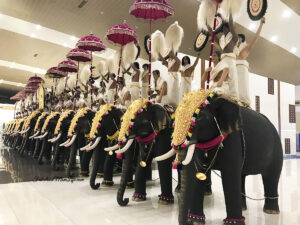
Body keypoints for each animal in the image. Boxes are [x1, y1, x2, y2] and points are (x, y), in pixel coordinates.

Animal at [156, 89, 282, 225]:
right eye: (174, 119)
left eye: (199, 118)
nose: (188, 222)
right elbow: (199, 173)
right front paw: (196, 221)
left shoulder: (233, 139)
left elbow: (229, 175)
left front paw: (232, 223)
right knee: (241, 175)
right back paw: (244, 208)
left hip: (277, 148)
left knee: (271, 176)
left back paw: (271, 211)